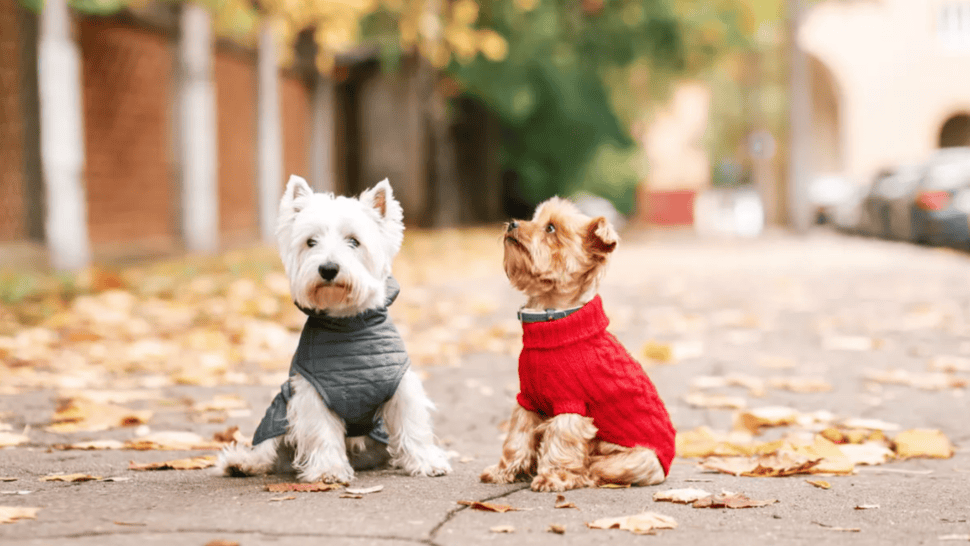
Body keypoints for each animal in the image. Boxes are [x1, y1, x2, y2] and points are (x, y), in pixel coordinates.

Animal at [217, 174, 452, 480]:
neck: (348, 325)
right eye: (311, 242)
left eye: (354, 241)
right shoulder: (312, 393)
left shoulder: (401, 385)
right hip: (279, 408)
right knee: (267, 447)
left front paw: (426, 462)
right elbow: (322, 432)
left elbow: (411, 425)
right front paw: (328, 470)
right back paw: (242, 462)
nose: (328, 269)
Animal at [478, 198, 672, 490]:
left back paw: (578, 475)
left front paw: (551, 477)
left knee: (595, 468)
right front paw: (503, 471)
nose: (512, 224)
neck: (552, 319)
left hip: (635, 459)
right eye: (533, 219)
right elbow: (517, 437)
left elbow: (561, 441)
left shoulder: (572, 405)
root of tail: (666, 467)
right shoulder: (527, 401)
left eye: (550, 228)